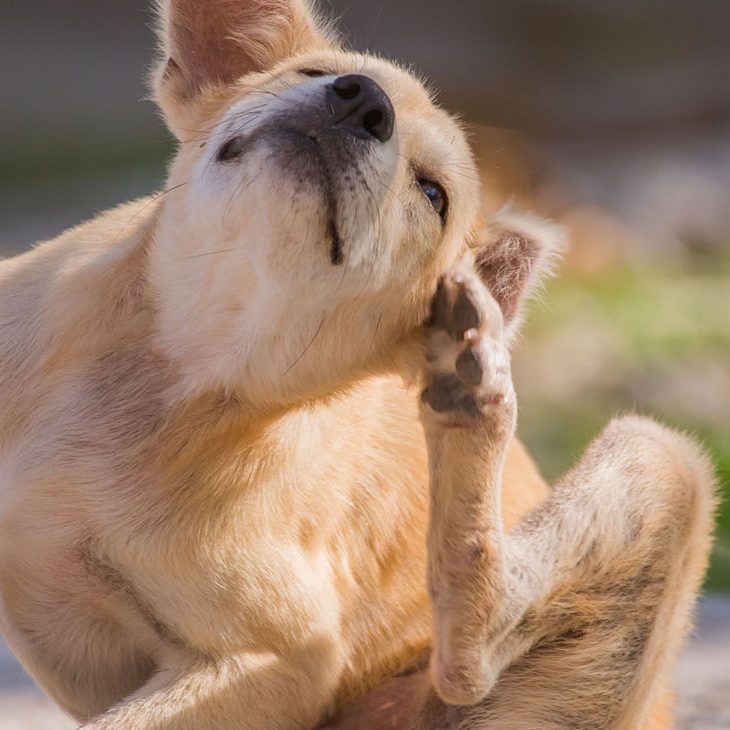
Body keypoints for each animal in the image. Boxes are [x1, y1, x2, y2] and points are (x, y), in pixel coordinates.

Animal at [0, 2, 712, 724]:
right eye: (315, 73)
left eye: (432, 194)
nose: (363, 101)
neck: (176, 363)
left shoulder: (274, 662)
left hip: (664, 460)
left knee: (471, 657)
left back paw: (471, 396)